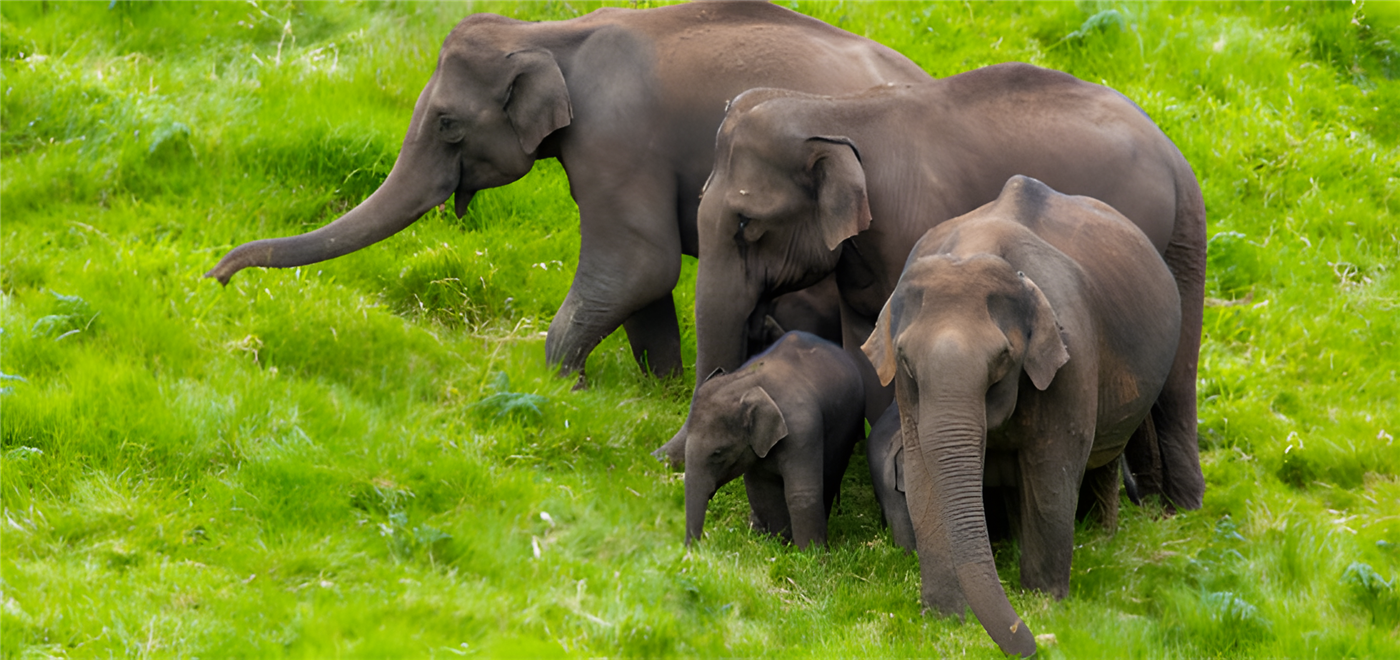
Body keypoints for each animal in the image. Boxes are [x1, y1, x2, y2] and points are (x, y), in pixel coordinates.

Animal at [204, 0, 930, 383]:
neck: (548, 33)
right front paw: (657, 388)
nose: (217, 277)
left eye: (447, 123)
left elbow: (640, 263)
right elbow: (643, 283)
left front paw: (560, 387)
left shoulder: (616, 140)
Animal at [655, 331, 864, 549]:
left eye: (718, 453)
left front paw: (810, 554)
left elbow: (801, 493)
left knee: (830, 476)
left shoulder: (803, 430)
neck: (750, 383)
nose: (691, 550)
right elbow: (761, 488)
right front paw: (780, 543)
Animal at [859, 175, 1181, 657]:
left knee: (1101, 458)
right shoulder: (905, 392)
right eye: (906, 359)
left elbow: (1050, 475)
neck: (973, 250)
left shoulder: (1072, 358)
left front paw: (1045, 604)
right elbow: (922, 480)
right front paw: (941, 621)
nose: (1033, 642)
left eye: (1003, 358)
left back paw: (1103, 541)